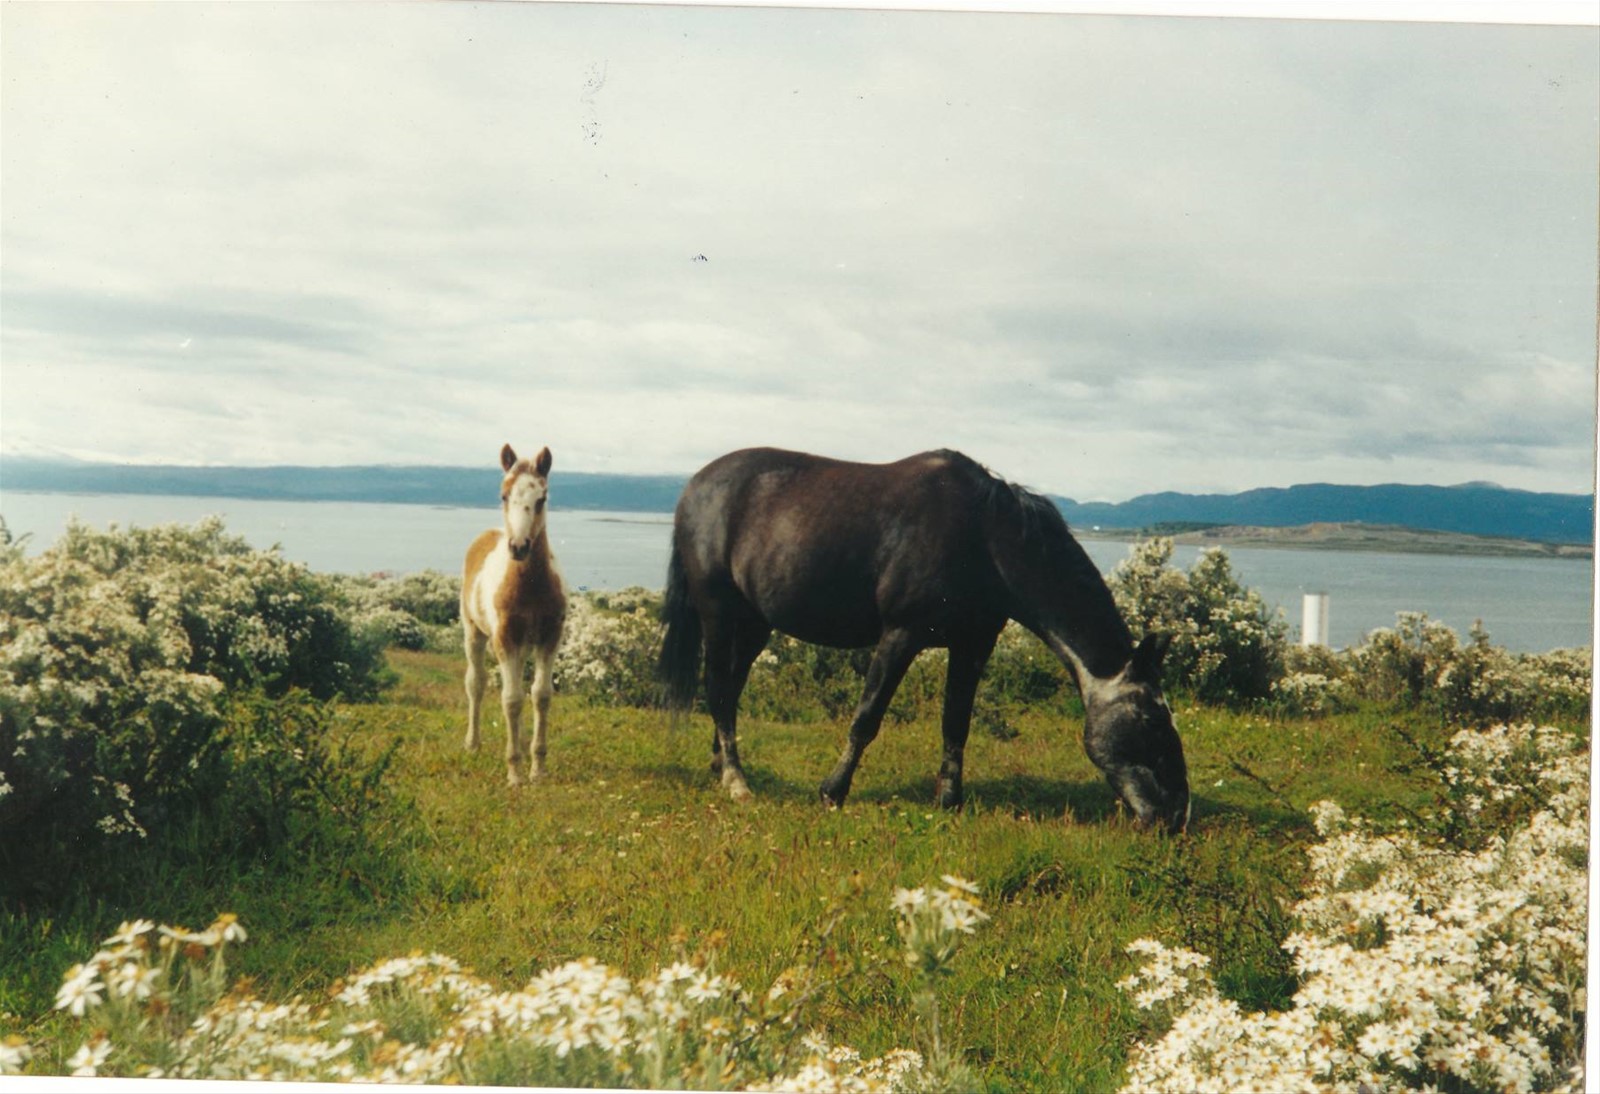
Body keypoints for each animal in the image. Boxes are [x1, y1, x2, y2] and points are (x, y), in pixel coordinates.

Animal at [461, 443, 568, 786]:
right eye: (504, 495)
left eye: (542, 498)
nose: (519, 547)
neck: (529, 586)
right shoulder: (505, 639)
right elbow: (510, 699)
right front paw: (515, 774)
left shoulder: (550, 637)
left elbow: (540, 695)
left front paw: (538, 768)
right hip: (474, 633)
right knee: (476, 683)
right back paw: (473, 743)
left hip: (522, 645)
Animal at [658, 447, 1189, 834]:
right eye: (1151, 720)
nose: (1175, 818)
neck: (984, 538)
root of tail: (694, 487)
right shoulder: (901, 635)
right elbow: (866, 719)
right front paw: (833, 791)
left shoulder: (973, 645)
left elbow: (956, 723)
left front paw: (950, 800)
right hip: (719, 613)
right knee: (718, 690)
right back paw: (736, 781)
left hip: (754, 623)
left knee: (730, 689)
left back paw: (719, 765)